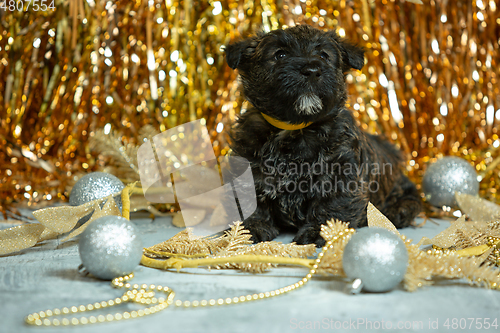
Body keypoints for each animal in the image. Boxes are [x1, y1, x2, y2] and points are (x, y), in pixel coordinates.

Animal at [225, 24, 420, 245]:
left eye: (324, 56)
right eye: (280, 54)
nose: (311, 70)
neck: (296, 128)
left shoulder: (341, 172)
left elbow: (332, 204)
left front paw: (324, 231)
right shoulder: (249, 165)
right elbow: (249, 197)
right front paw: (249, 228)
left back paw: (398, 211)